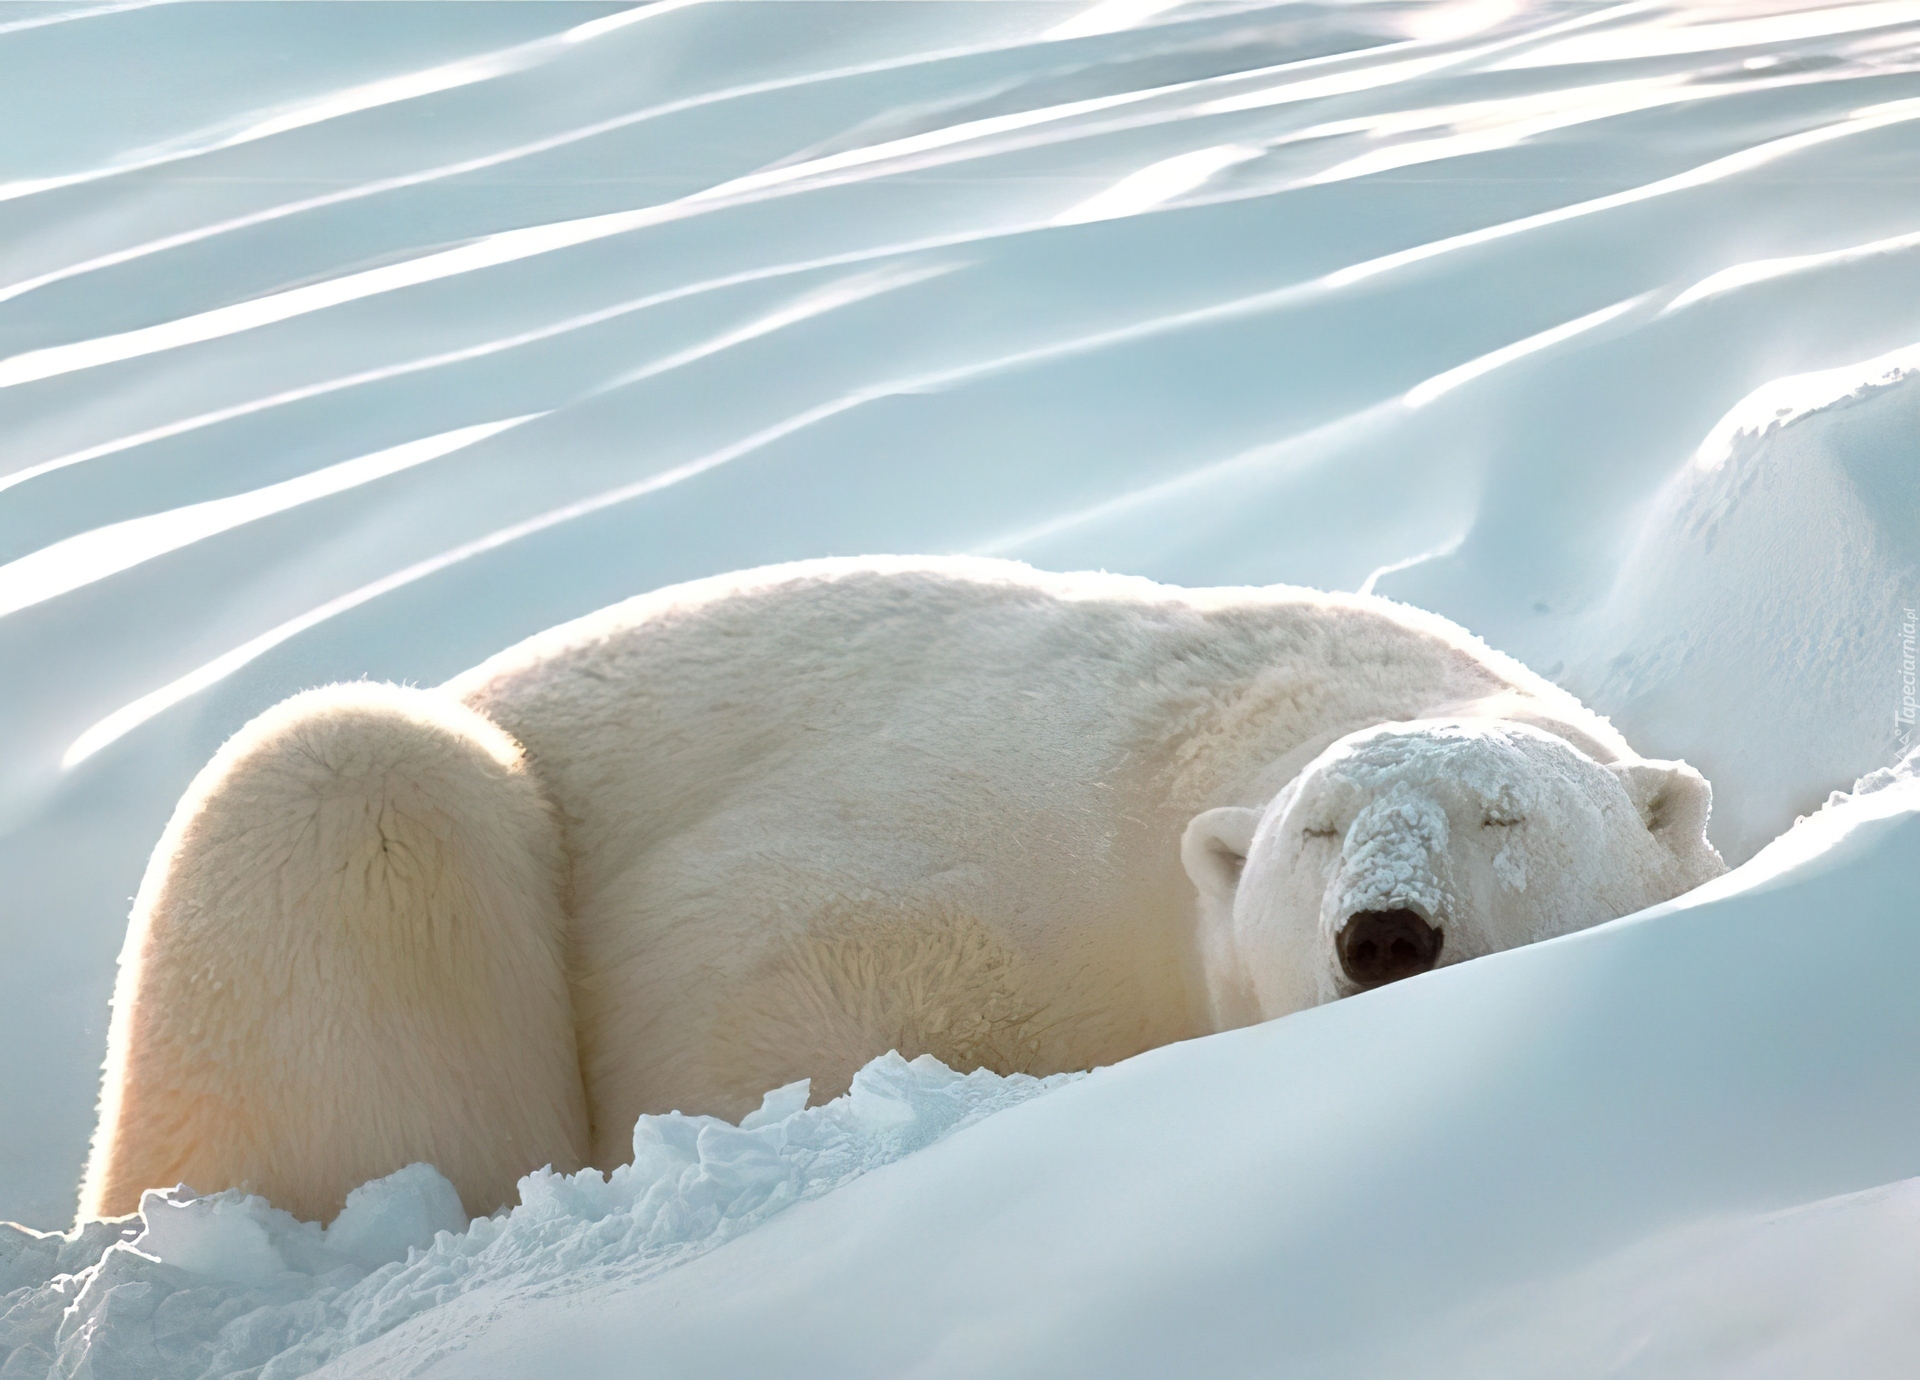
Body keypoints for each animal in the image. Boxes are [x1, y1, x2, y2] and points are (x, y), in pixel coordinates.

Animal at [78, 556, 1728, 1228]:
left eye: (1504, 812)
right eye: (1319, 833)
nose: (1387, 932)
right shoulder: (976, 861)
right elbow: (764, 987)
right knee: (347, 779)